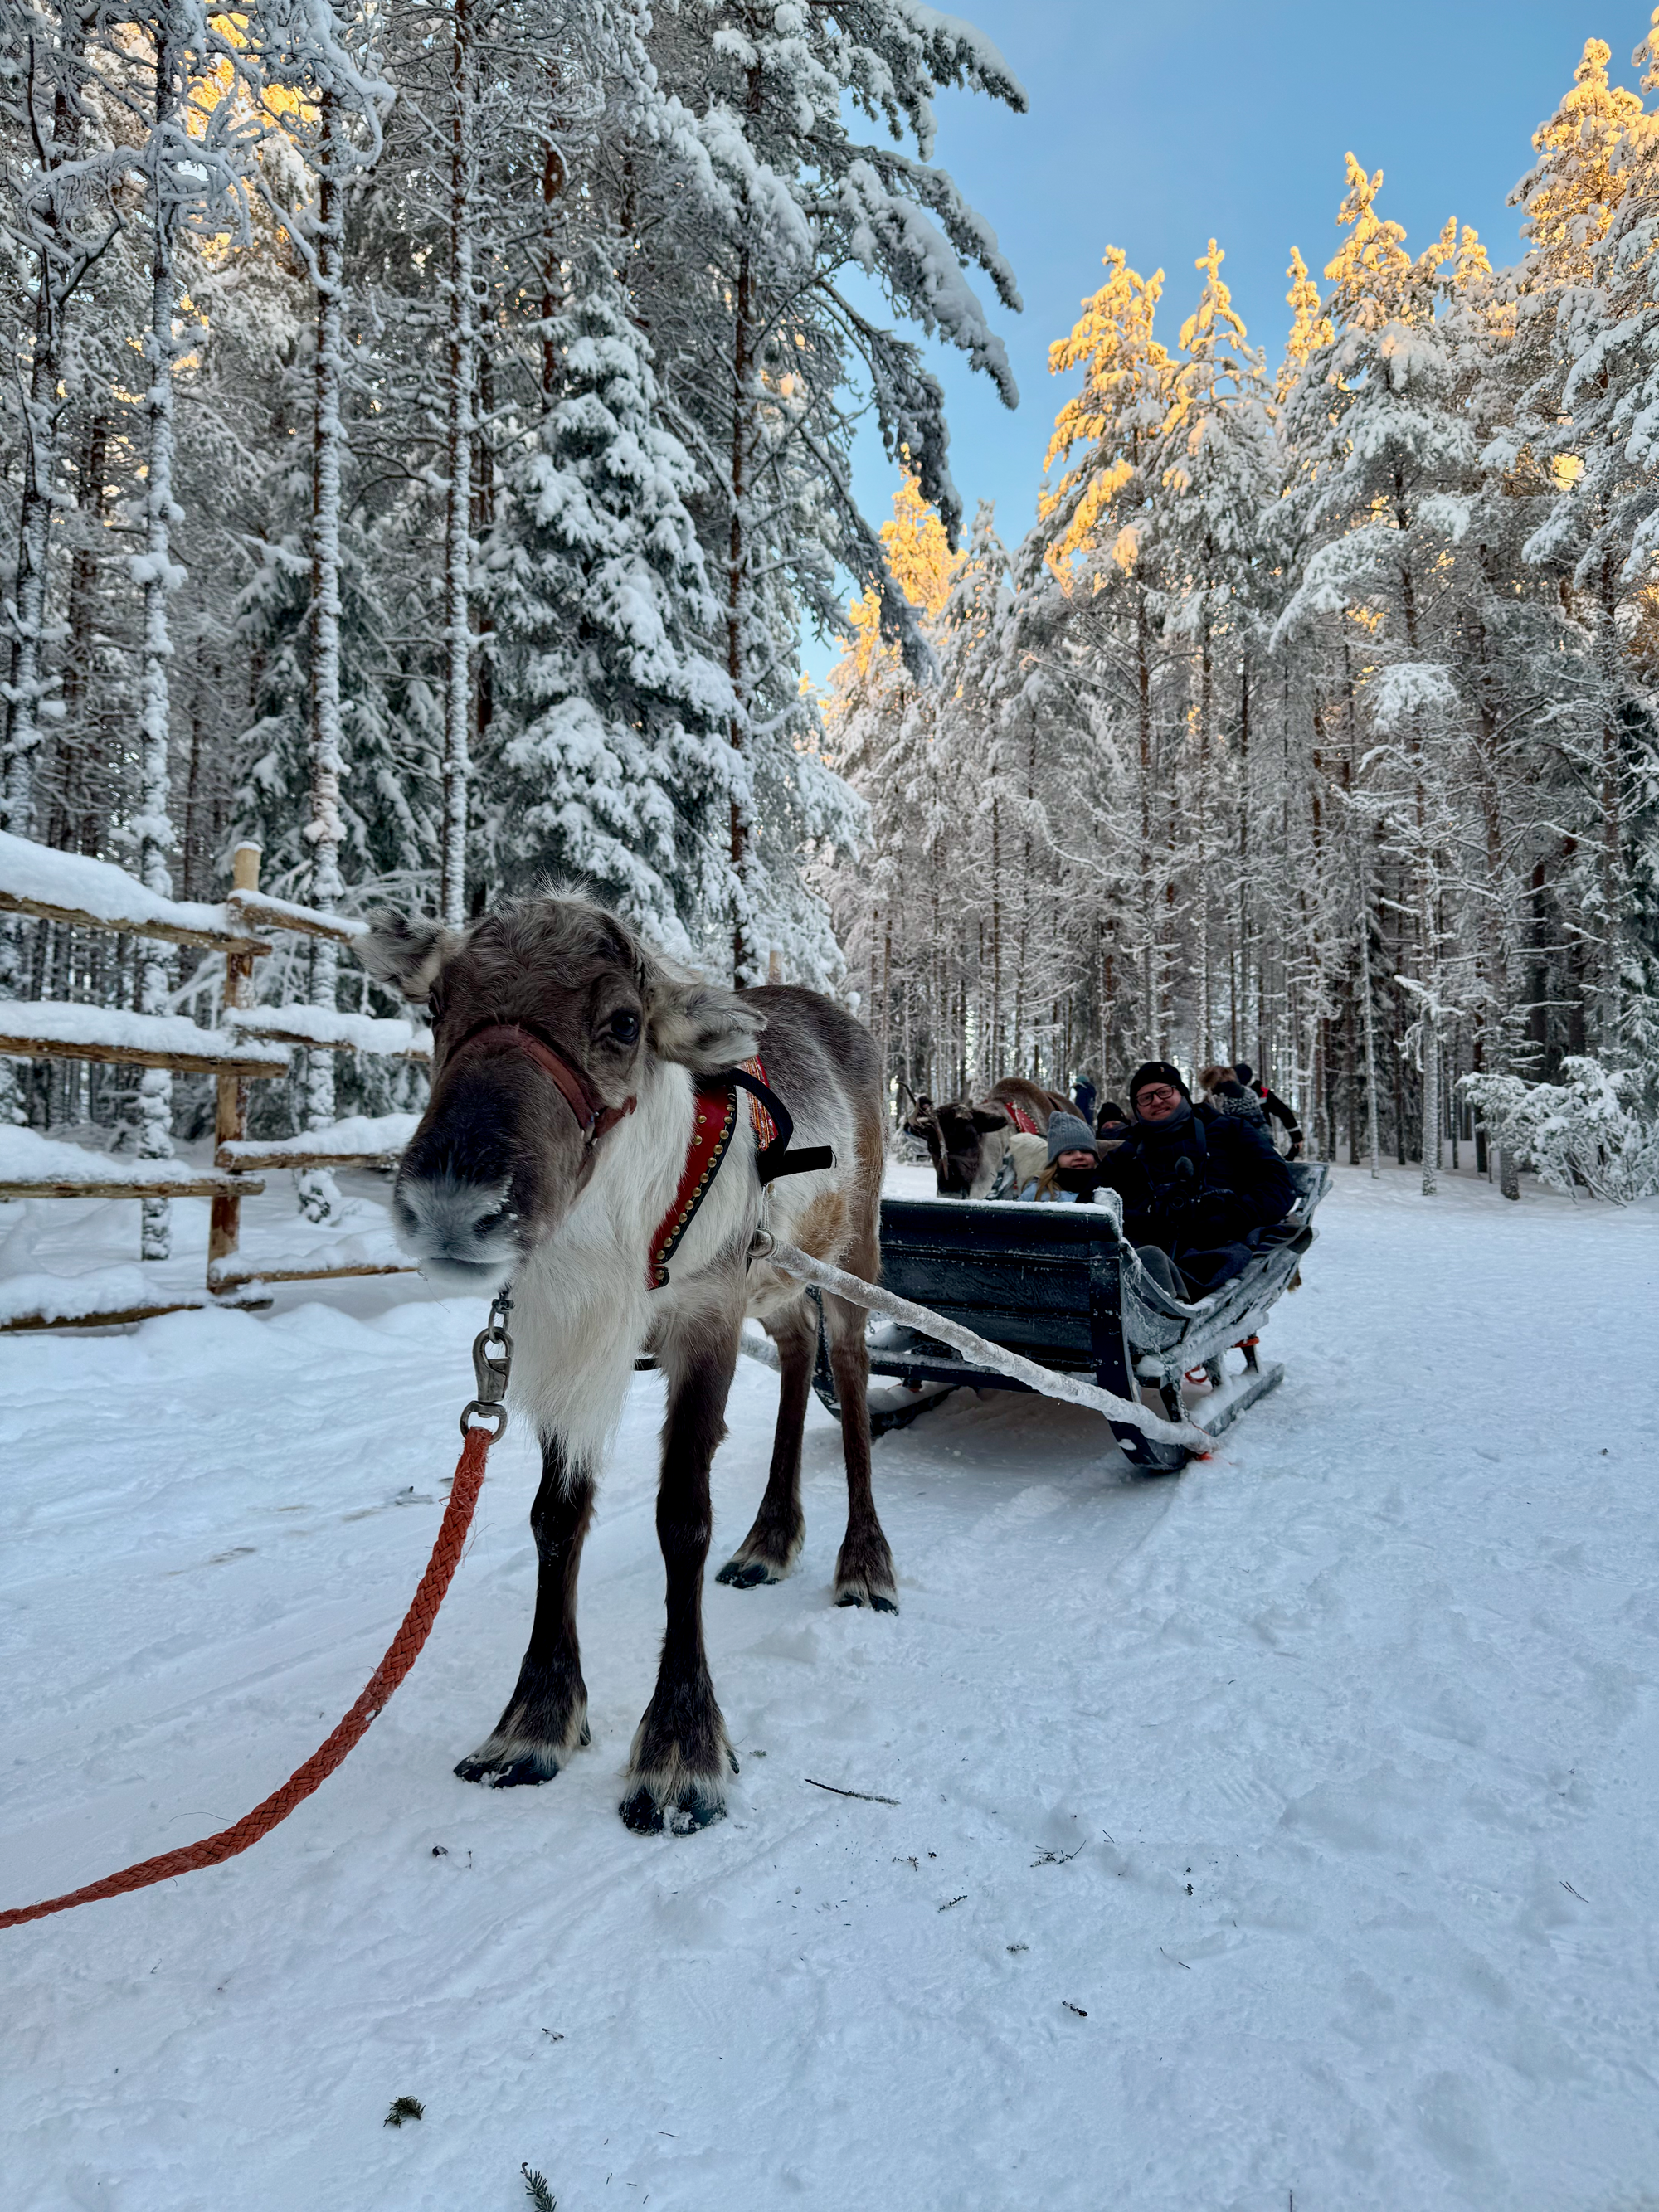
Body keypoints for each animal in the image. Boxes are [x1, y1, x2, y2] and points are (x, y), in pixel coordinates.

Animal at [359, 893, 893, 1836]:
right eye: (437, 1006)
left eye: (622, 1022)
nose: (452, 1205)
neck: (601, 1238)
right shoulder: (564, 1343)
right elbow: (555, 1518)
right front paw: (534, 1721)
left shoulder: (705, 1319)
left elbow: (682, 1517)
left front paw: (680, 1747)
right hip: (776, 1275)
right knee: (799, 1350)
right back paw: (769, 1540)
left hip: (849, 1252)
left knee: (854, 1376)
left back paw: (863, 1562)